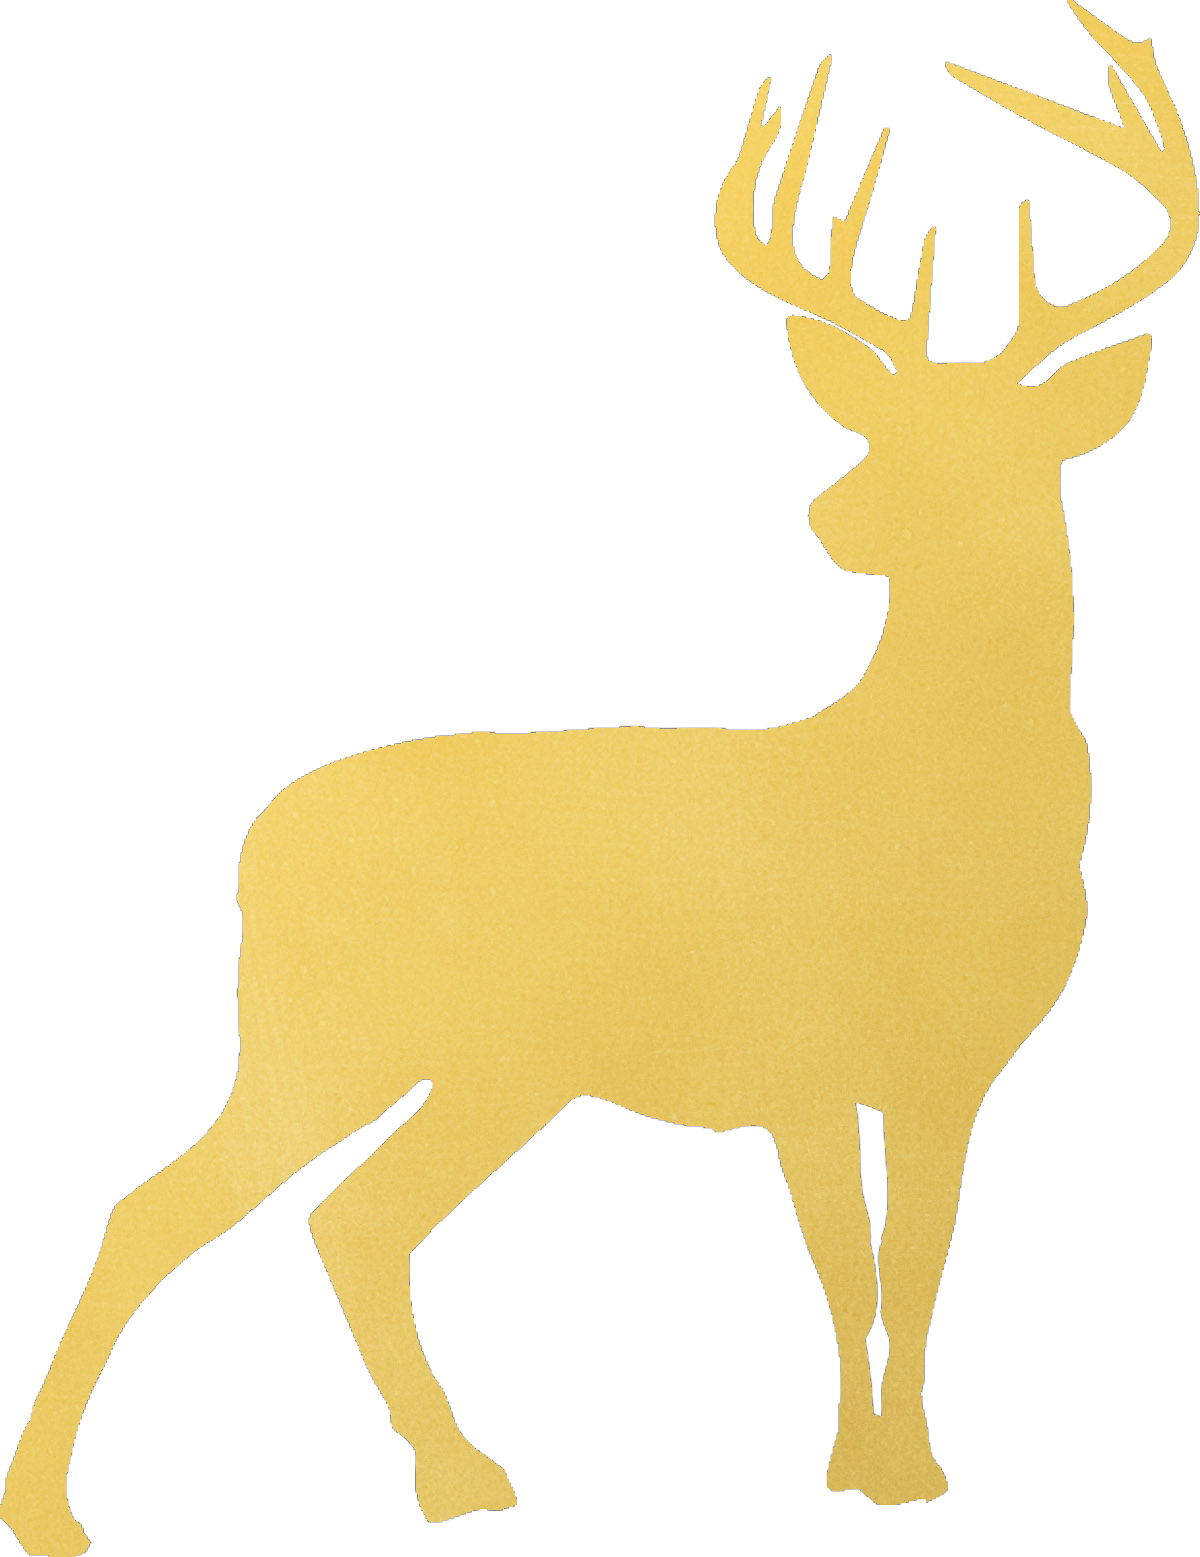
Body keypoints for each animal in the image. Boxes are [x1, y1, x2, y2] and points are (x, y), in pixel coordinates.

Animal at [3, 5, 1194, 1552]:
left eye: (999, 448)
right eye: (878, 431)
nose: (836, 518)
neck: (922, 808)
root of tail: (261, 843)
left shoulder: (950, 1068)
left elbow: (918, 1260)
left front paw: (909, 1462)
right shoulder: (799, 1054)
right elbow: (848, 1263)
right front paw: (862, 1465)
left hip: (492, 1069)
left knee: (353, 1216)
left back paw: (459, 1475)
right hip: (327, 1034)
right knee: (166, 1207)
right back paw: (45, 1509)